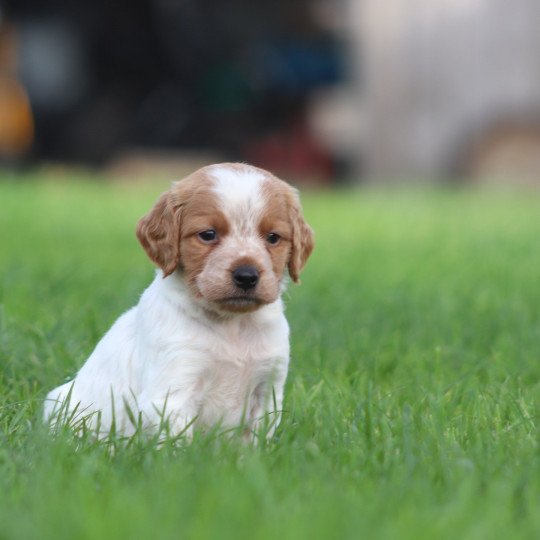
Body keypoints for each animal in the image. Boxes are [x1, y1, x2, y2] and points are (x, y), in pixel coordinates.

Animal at [44, 163, 314, 438]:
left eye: (273, 237)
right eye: (208, 234)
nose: (247, 276)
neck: (231, 324)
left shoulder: (268, 389)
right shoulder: (173, 392)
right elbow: (178, 444)